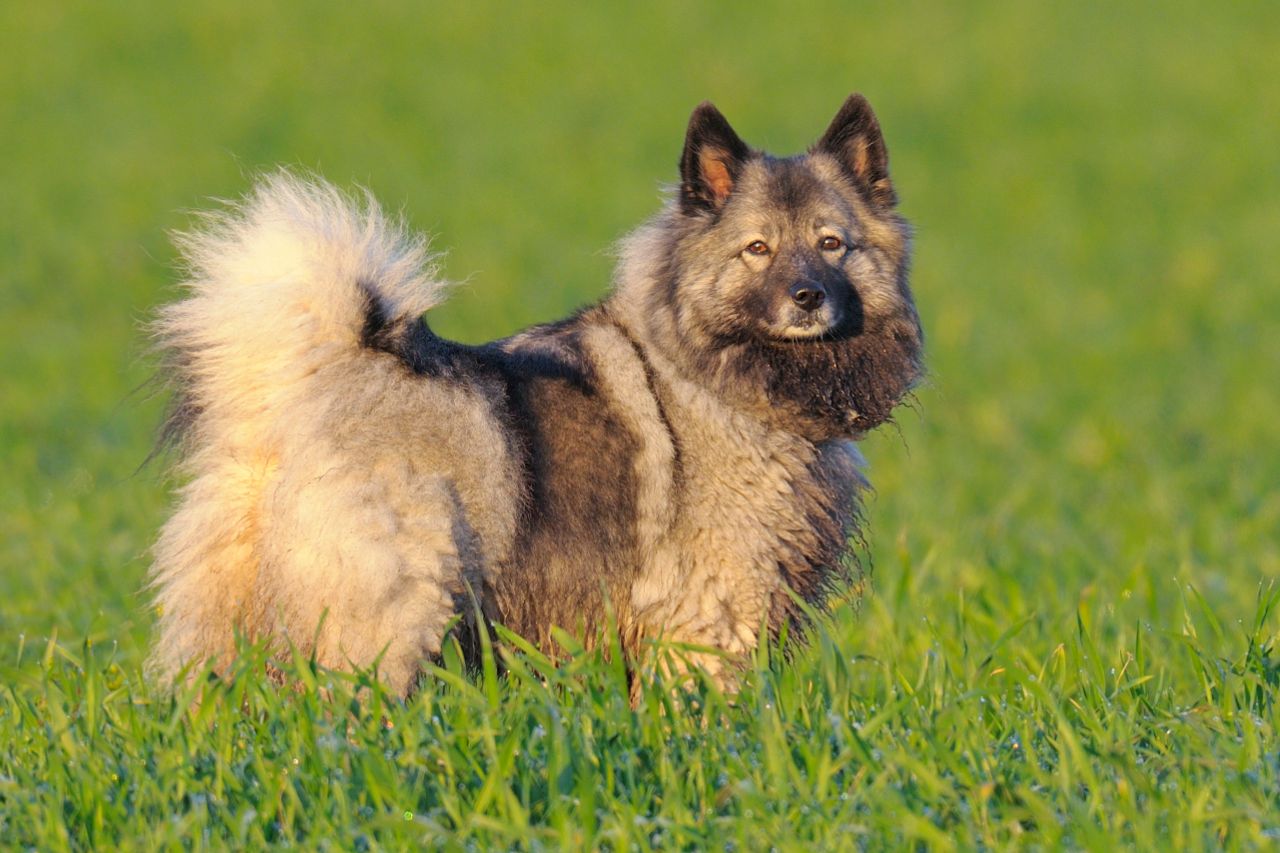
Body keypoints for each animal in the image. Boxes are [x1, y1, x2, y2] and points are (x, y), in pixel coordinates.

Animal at [149, 94, 926, 691]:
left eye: (832, 244)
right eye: (757, 250)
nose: (808, 298)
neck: (712, 375)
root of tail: (308, 382)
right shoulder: (711, 618)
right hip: (390, 615)